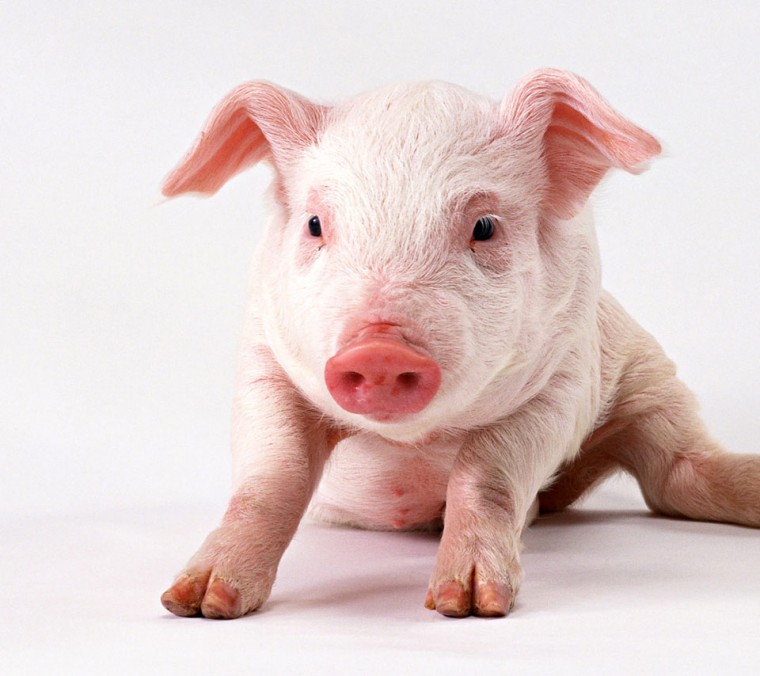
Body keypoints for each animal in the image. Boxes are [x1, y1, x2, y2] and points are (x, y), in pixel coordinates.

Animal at [159, 69, 760, 619]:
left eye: (485, 226)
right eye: (313, 224)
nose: (380, 350)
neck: (411, 446)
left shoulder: (566, 378)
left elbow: (485, 474)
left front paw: (467, 605)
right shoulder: (263, 361)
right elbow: (270, 478)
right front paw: (197, 602)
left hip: (647, 373)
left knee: (674, 471)